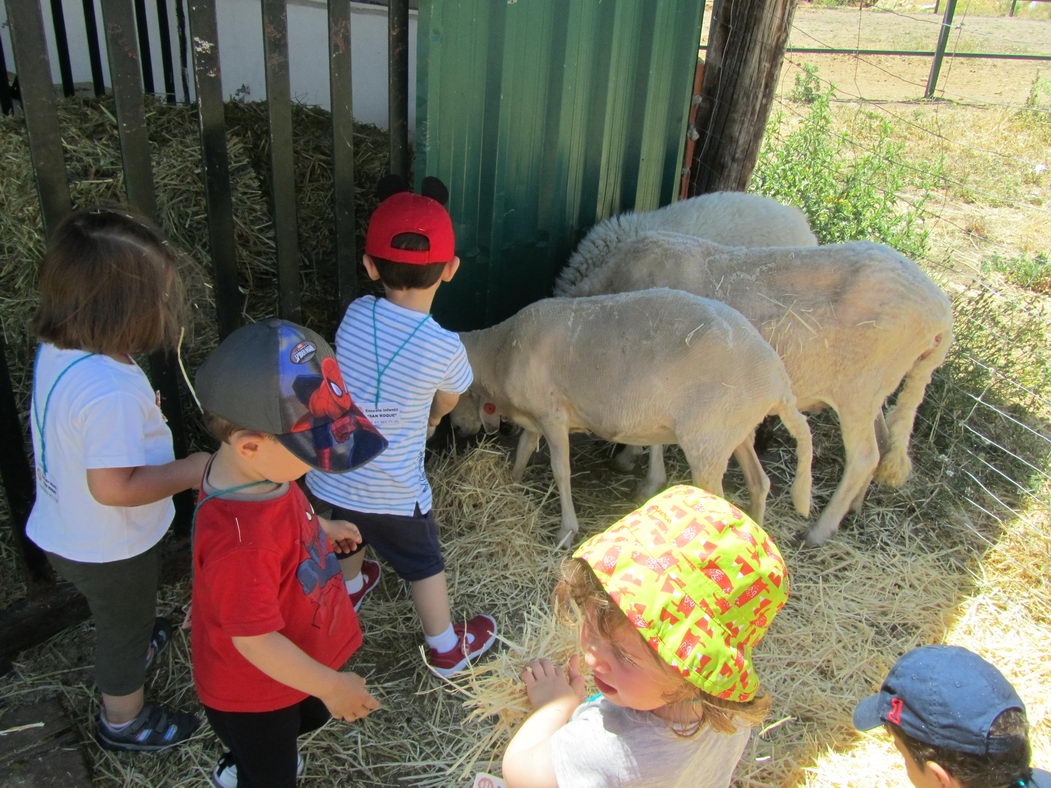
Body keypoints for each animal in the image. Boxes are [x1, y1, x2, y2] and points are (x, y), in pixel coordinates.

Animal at [451, 287, 811, 542]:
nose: (457, 429)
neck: (501, 352)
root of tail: (779, 382)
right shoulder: (538, 413)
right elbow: (525, 448)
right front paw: (511, 481)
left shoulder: (553, 415)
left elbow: (560, 471)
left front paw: (567, 530)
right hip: (735, 430)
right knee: (759, 483)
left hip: (708, 437)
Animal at [563, 231, 958, 546]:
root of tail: (942, 312)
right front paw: (631, 457)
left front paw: (644, 475)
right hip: (875, 389)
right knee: (882, 439)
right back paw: (855, 508)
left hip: (859, 389)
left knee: (864, 457)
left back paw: (820, 530)